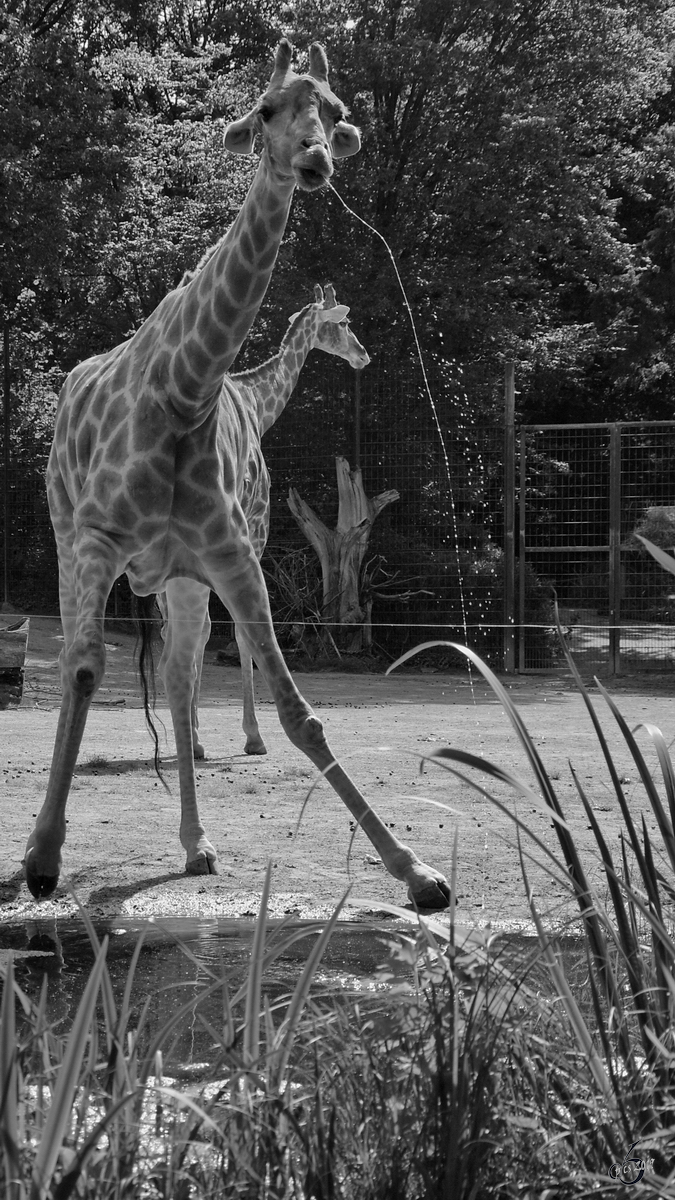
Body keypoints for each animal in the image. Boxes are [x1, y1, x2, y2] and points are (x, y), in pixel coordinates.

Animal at [157, 278, 367, 758]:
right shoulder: (255, 529)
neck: (257, 405)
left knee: (167, 630)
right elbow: (240, 631)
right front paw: (253, 737)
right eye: (344, 323)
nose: (363, 354)